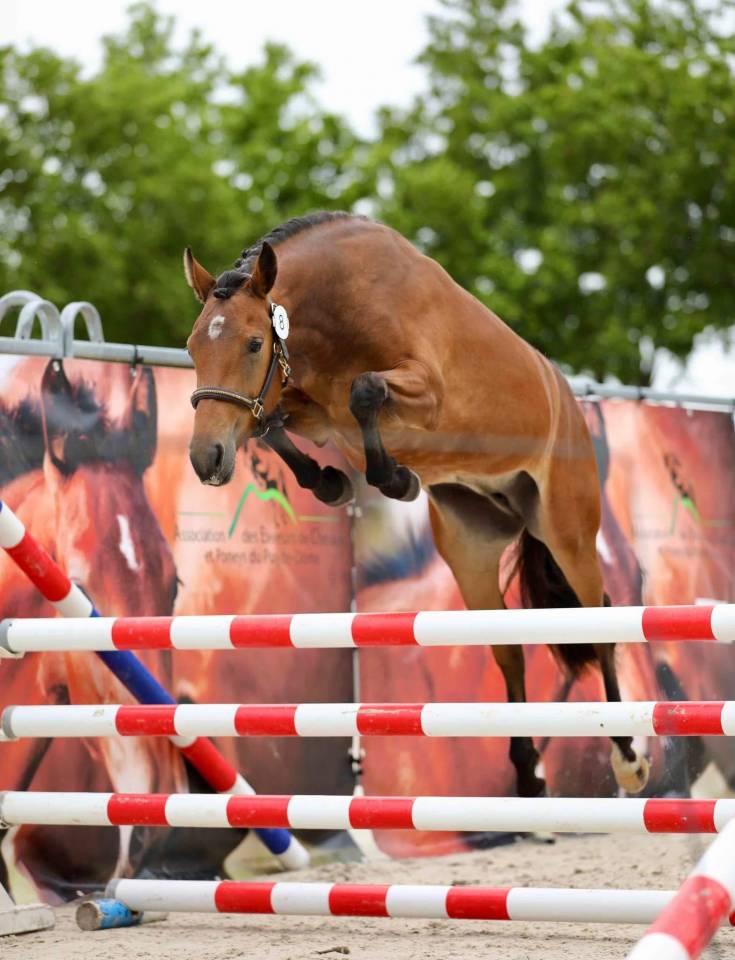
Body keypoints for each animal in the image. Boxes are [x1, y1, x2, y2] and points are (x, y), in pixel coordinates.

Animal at [183, 210, 649, 798]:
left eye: (250, 344)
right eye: (192, 349)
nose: (206, 459)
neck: (337, 308)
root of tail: (568, 400)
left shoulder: (425, 392)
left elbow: (363, 391)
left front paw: (397, 479)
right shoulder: (306, 408)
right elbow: (273, 423)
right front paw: (331, 482)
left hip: (568, 532)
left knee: (601, 620)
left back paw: (628, 756)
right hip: (471, 547)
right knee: (507, 647)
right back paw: (528, 775)